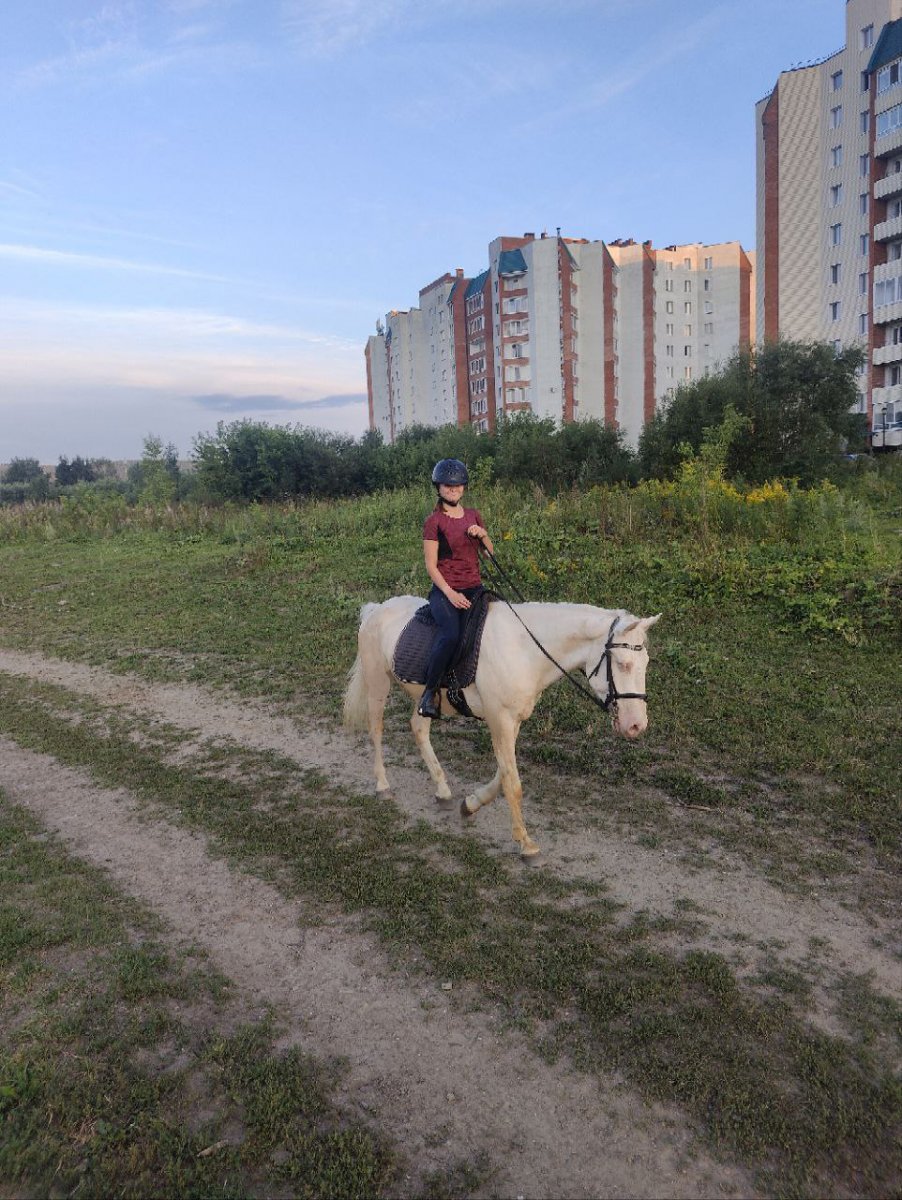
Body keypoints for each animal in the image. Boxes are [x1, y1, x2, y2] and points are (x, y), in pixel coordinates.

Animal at [340, 595, 657, 859]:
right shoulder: (500, 719)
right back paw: (383, 785)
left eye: (645, 663)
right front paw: (526, 845)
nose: (636, 725)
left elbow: (502, 775)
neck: (524, 649)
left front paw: (470, 804)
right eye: (623, 663)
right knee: (376, 729)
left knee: (418, 727)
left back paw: (442, 790)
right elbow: (513, 783)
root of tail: (376, 609)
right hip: (377, 682)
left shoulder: (511, 720)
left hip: (425, 697)